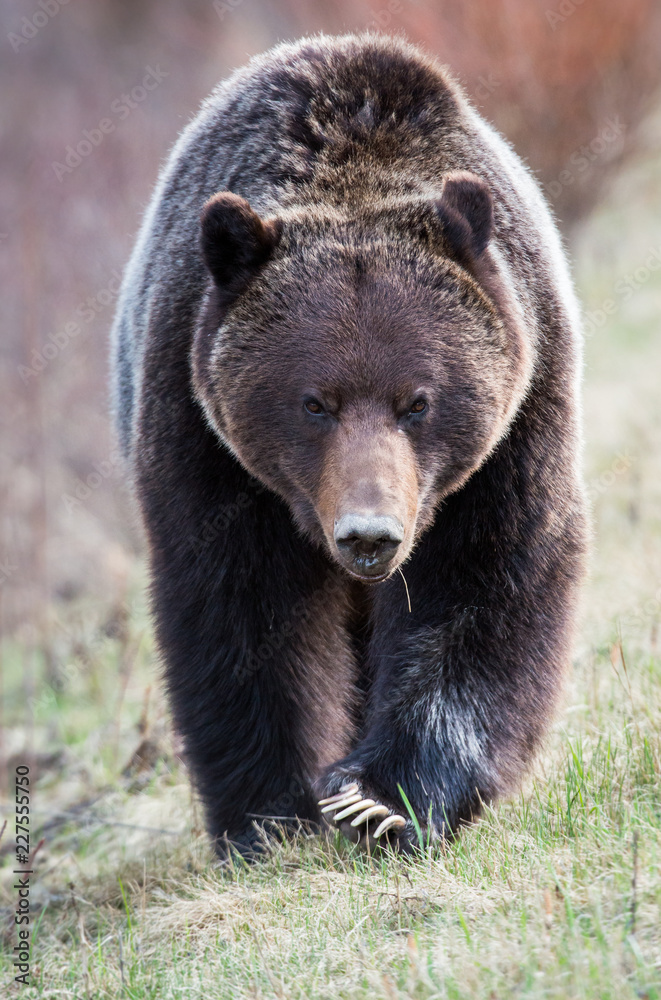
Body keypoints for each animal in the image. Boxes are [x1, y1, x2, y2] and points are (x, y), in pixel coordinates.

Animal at [111, 32, 587, 856]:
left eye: (417, 402)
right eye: (314, 403)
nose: (369, 535)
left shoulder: (512, 429)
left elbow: (485, 583)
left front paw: (382, 798)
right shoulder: (205, 439)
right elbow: (243, 614)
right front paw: (273, 816)